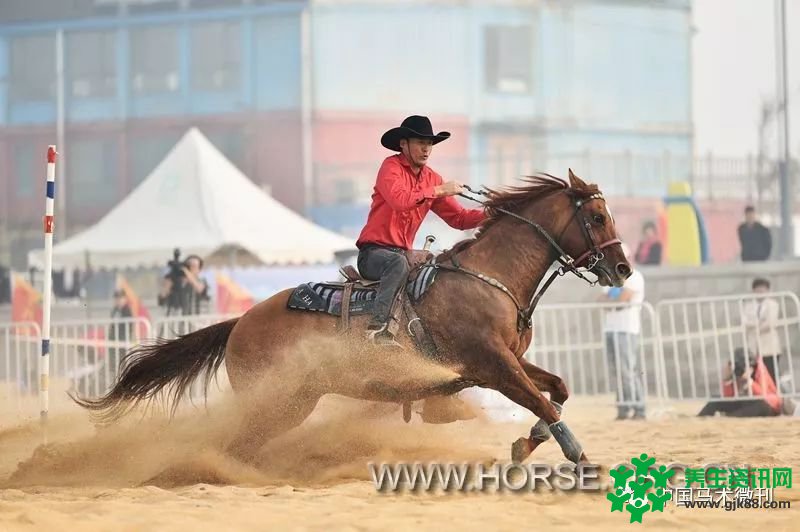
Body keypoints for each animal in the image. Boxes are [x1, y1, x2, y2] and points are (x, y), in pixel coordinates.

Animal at [78, 171, 636, 466]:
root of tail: (238, 324)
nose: (623, 269)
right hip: (274, 402)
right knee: (236, 446)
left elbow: (557, 390)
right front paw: (580, 458)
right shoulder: (492, 366)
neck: (488, 278)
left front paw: (525, 443)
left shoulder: (507, 362)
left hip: (293, 403)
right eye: (597, 216)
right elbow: (545, 402)